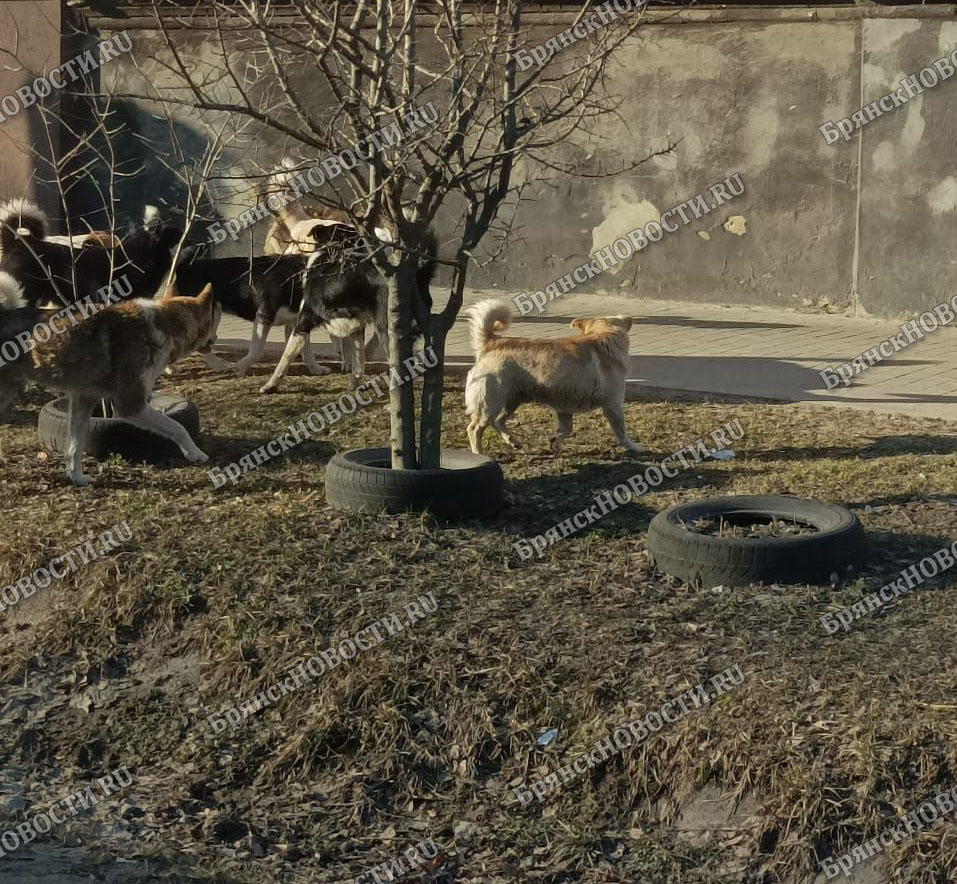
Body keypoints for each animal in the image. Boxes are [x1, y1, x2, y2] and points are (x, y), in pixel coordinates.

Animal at [0, 274, 220, 486]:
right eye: (216, 315)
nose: (216, 338)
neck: (165, 326)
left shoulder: (83, 401)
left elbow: (75, 446)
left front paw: (76, 477)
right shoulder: (130, 405)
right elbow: (177, 427)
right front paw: (195, 453)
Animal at [464, 300, 644, 460]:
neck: (602, 336)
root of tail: (492, 341)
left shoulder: (564, 406)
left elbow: (567, 428)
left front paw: (555, 442)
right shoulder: (613, 406)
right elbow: (621, 432)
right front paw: (633, 447)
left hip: (512, 399)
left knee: (498, 421)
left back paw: (514, 441)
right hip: (490, 404)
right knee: (474, 428)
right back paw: (478, 453)